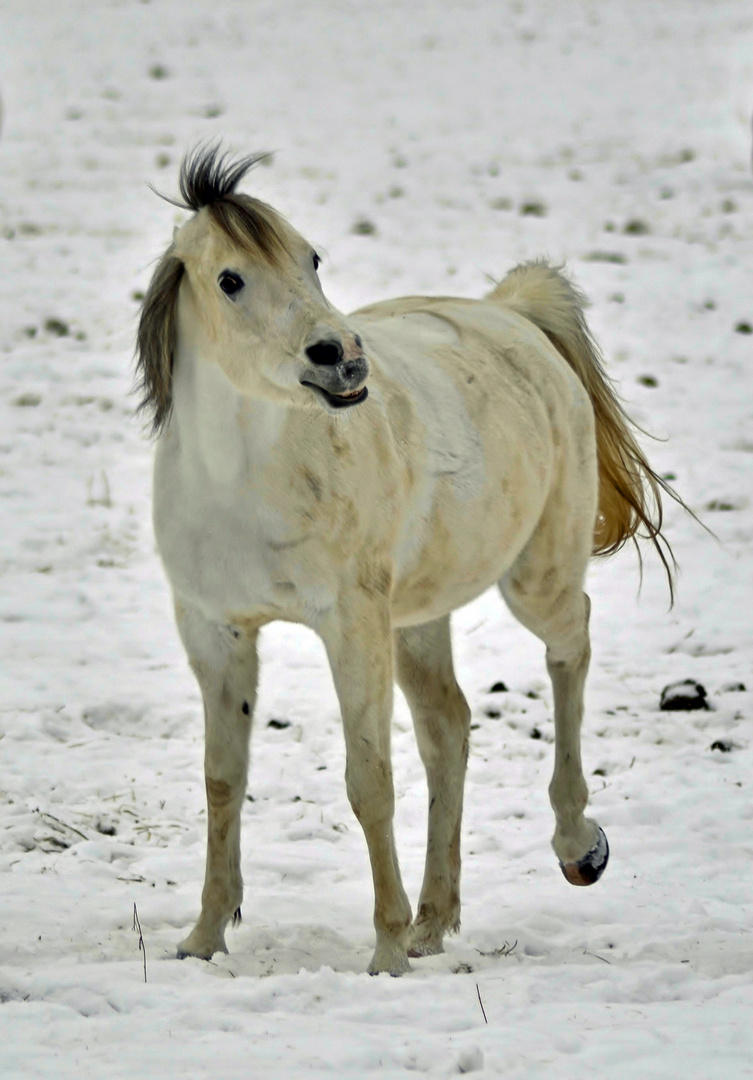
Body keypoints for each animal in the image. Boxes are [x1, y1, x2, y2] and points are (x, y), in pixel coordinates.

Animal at [135, 145, 674, 980]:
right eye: (229, 279)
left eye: (311, 259)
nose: (341, 359)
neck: (248, 477)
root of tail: (512, 313)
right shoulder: (215, 633)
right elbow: (223, 781)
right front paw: (202, 937)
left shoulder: (351, 626)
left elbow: (369, 782)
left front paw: (385, 951)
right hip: (416, 618)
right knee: (448, 725)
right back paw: (434, 920)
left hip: (533, 581)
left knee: (570, 645)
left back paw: (575, 846)